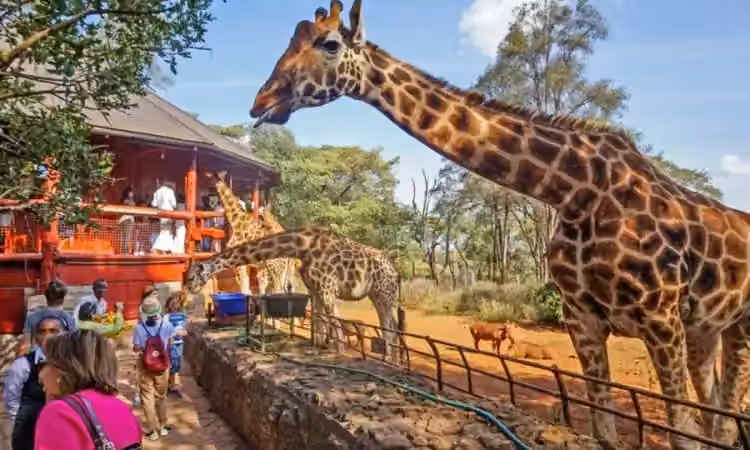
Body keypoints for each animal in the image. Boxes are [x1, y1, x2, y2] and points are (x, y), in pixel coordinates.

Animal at [183, 226, 401, 360]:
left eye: (191, 278)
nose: (188, 291)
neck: (303, 248)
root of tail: (396, 272)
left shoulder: (327, 287)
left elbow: (334, 322)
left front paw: (338, 354)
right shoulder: (315, 288)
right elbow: (318, 320)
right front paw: (318, 348)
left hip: (384, 293)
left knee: (390, 326)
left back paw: (389, 360)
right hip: (376, 295)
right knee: (390, 326)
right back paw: (391, 359)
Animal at [248, 2, 750, 448]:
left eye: (329, 44)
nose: (260, 102)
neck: (574, 191)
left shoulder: (660, 319)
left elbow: (681, 432)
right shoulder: (584, 320)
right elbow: (606, 430)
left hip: (736, 325)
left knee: (724, 418)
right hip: (705, 329)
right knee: (716, 415)